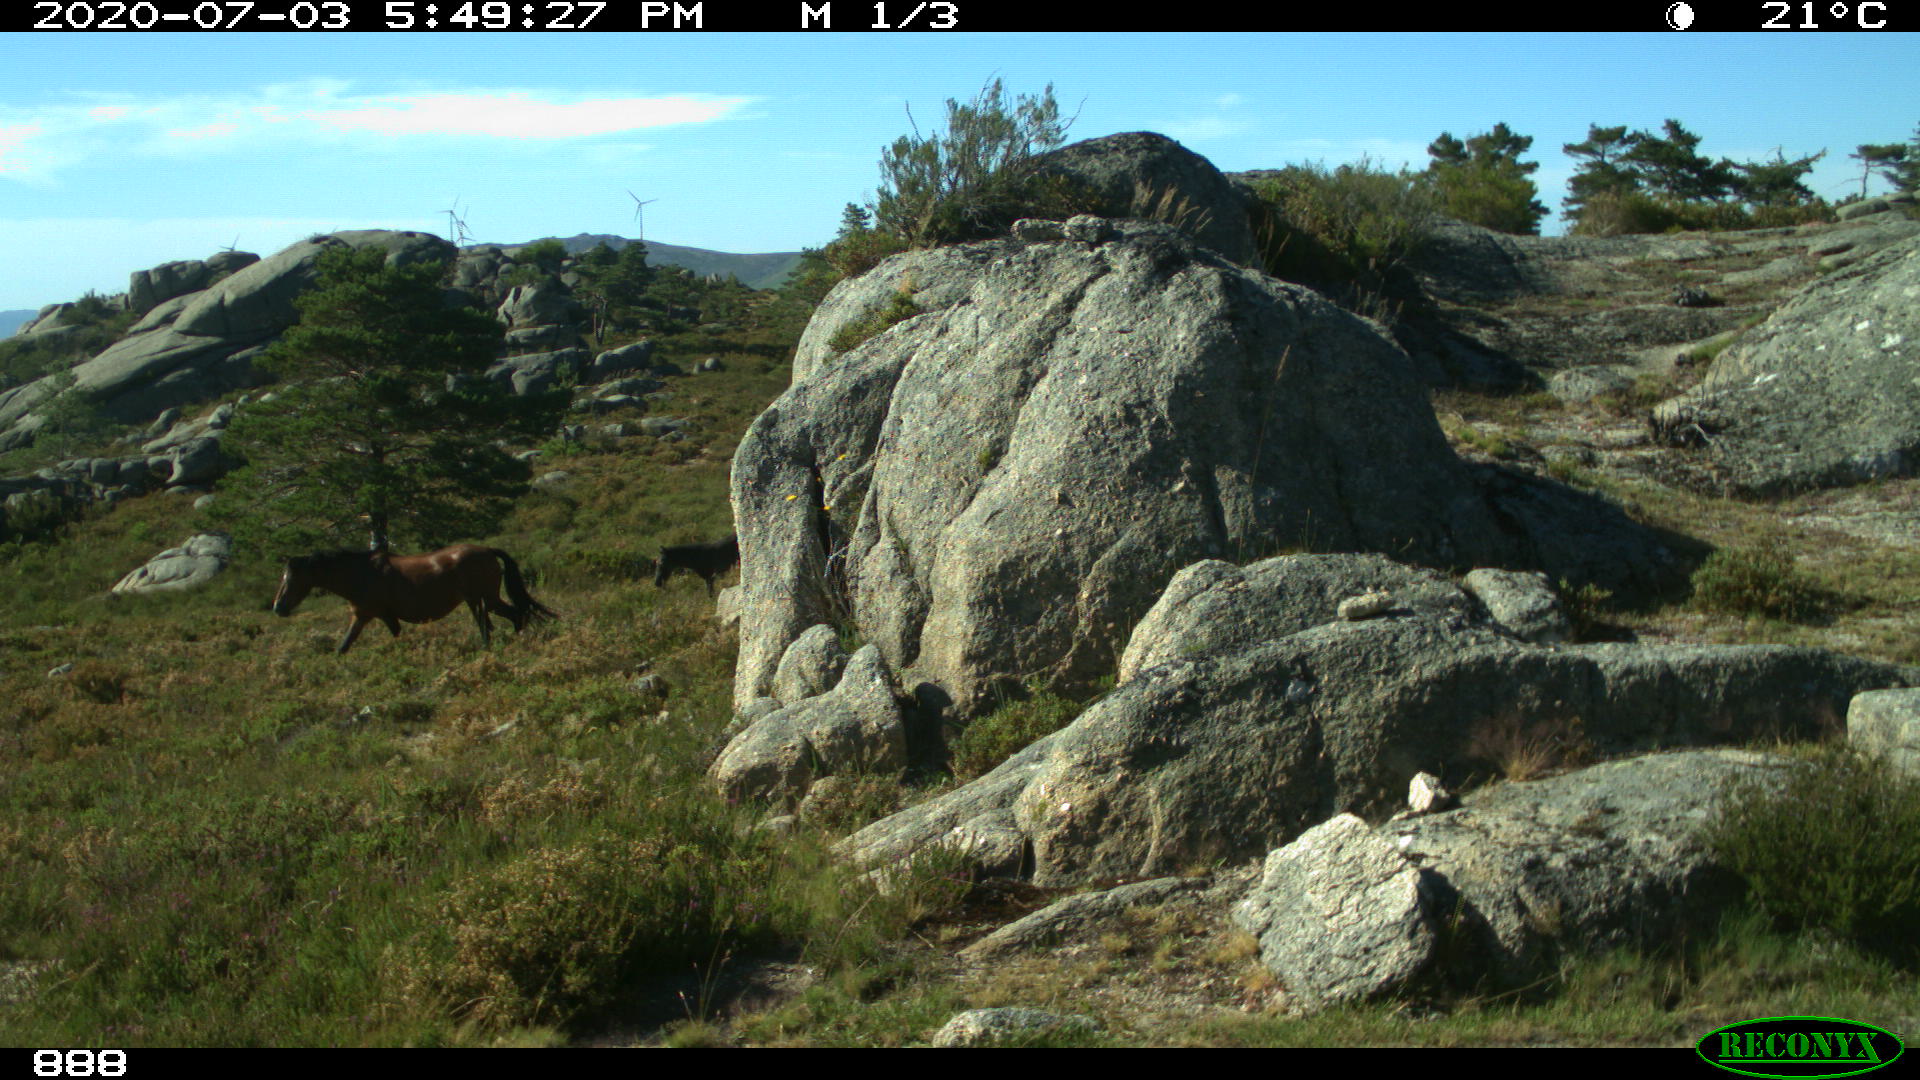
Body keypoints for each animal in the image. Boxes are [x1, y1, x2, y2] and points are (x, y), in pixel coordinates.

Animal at [272, 544, 557, 654]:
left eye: (290, 579)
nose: (278, 608)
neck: (361, 574)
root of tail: (487, 550)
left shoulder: (378, 615)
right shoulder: (363, 616)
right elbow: (343, 647)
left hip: (483, 599)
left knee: (511, 617)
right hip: (481, 601)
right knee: (505, 619)